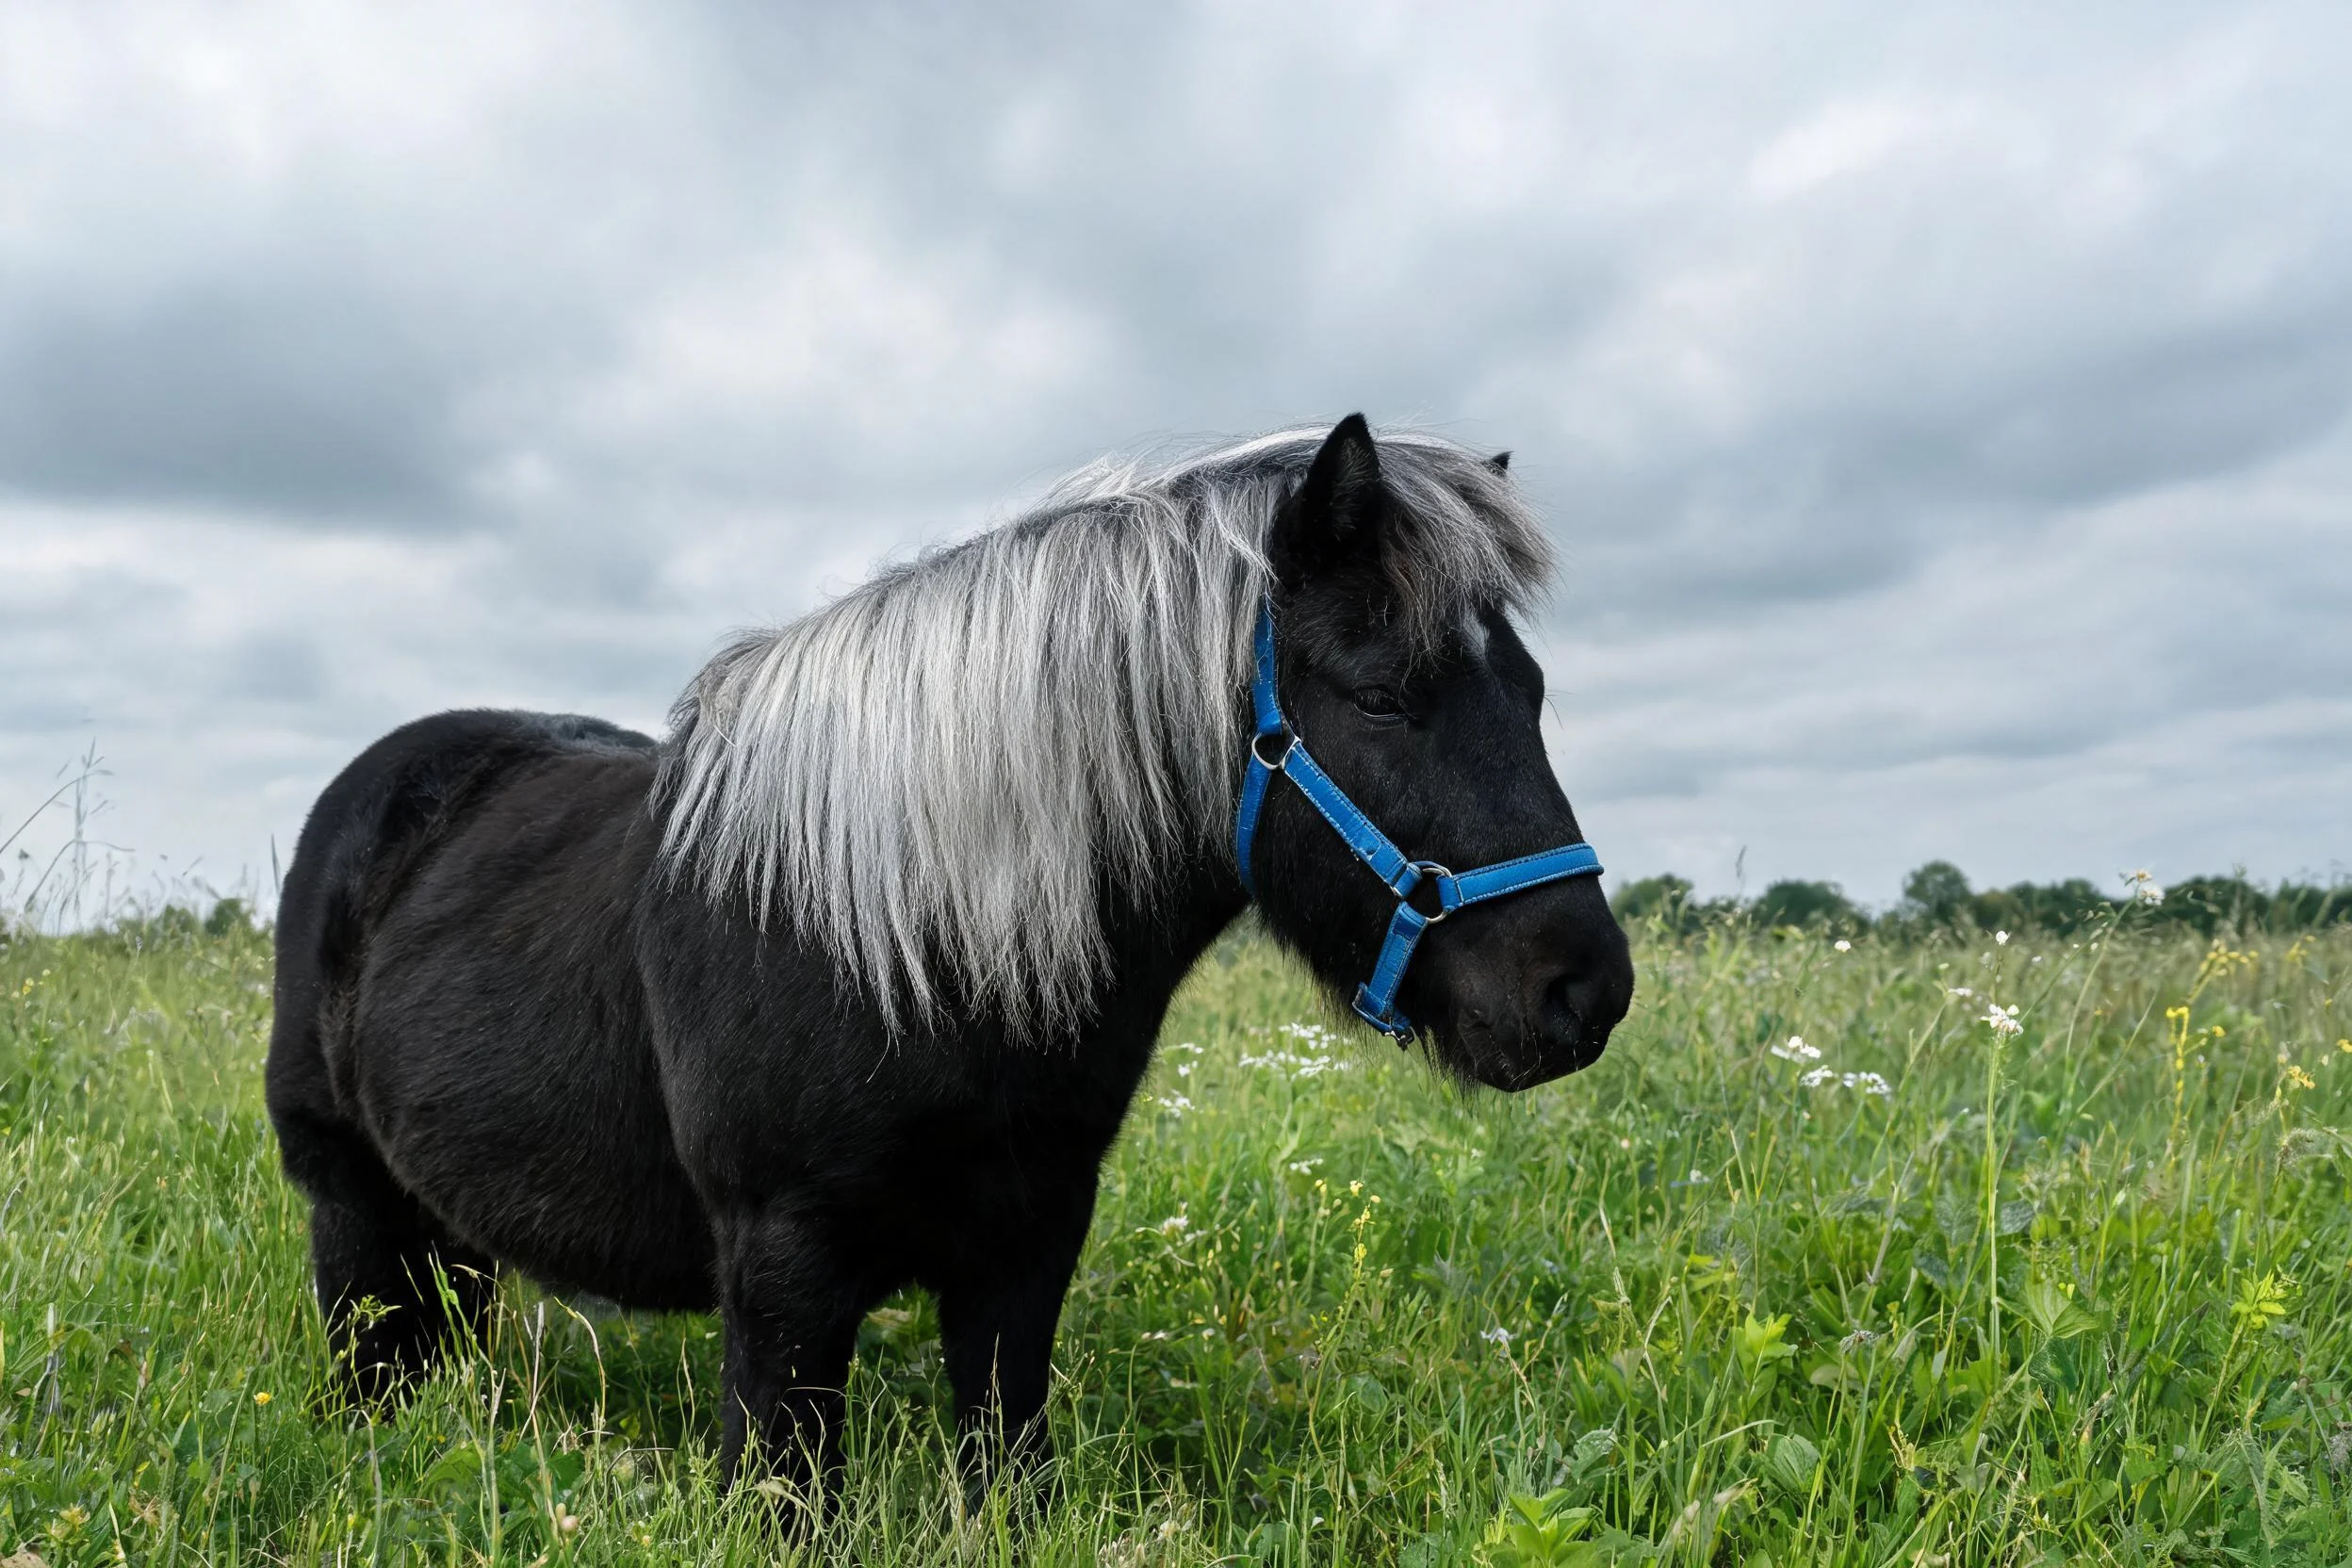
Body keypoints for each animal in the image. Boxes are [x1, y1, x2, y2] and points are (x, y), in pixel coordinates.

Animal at [263, 414, 1636, 1512]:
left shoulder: (1026, 1250)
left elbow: (1007, 1473)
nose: (1584, 991)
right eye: (1383, 695)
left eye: (1531, 690)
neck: (914, 943)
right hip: (353, 1221)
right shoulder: (784, 1280)